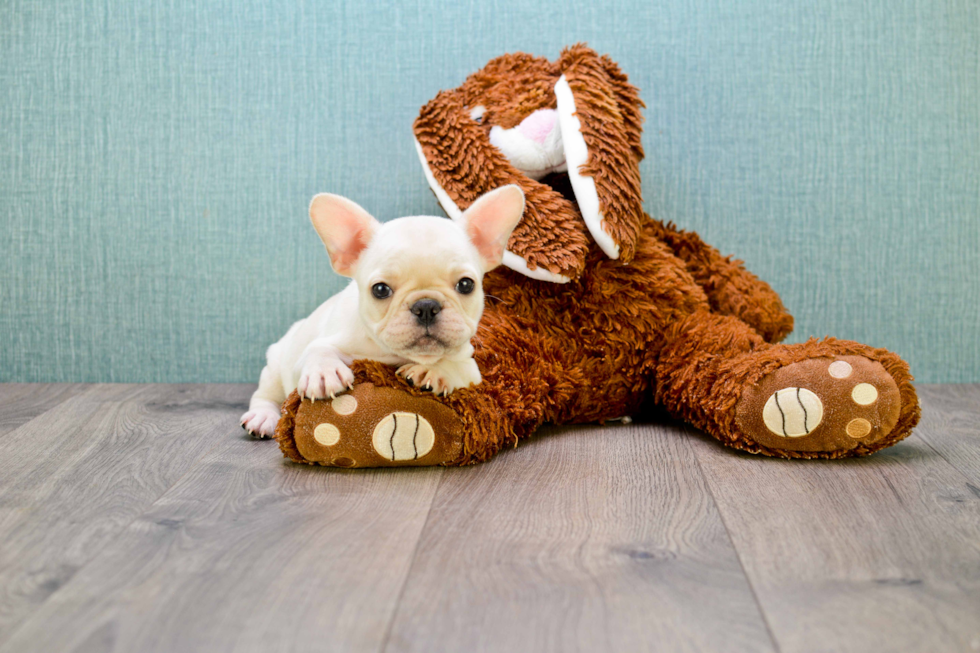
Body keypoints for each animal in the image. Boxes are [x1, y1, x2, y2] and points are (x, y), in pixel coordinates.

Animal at [240, 183, 524, 438]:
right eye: (380, 290)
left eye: (466, 285)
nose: (426, 306)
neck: (392, 354)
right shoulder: (315, 349)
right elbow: (318, 350)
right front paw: (324, 371)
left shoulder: (471, 369)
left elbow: (455, 366)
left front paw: (433, 371)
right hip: (275, 366)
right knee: (264, 395)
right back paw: (262, 417)